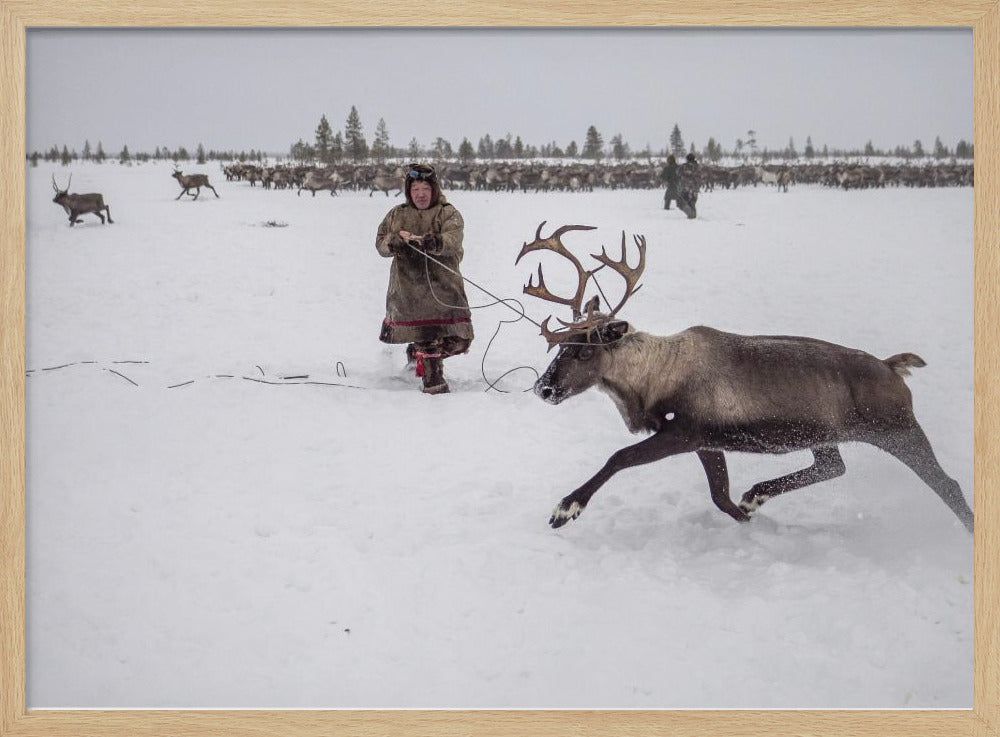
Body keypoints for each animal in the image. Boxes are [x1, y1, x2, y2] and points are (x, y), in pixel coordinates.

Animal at [516, 222, 974, 534]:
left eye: (584, 349)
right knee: (834, 465)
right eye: (560, 345)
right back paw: (757, 494)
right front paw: (748, 517)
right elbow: (720, 495)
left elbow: (619, 457)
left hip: (898, 429)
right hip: (826, 433)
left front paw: (566, 508)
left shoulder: (683, 431)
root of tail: (893, 365)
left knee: (948, 484)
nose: (544, 388)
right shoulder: (706, 441)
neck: (652, 378)